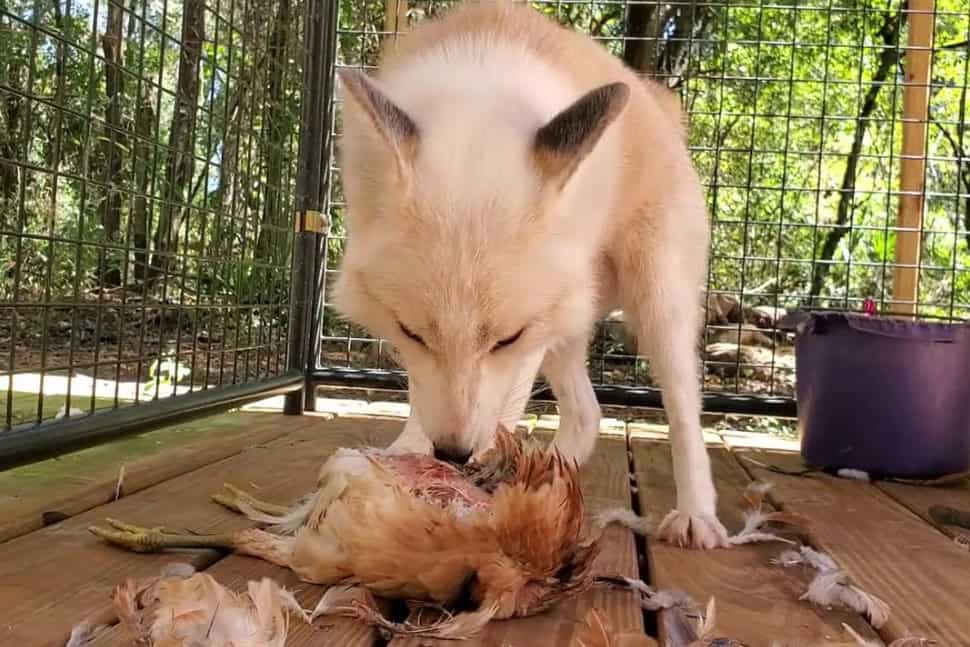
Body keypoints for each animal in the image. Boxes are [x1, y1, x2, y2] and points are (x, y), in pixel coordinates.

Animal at [332, 0, 728, 548]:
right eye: (412, 332)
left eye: (506, 338)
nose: (453, 454)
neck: (480, 82)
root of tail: (654, 100)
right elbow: (421, 395)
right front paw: (411, 450)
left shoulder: (531, 337)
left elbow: (505, 400)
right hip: (573, 326)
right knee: (587, 414)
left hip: (657, 303)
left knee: (684, 411)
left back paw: (696, 512)